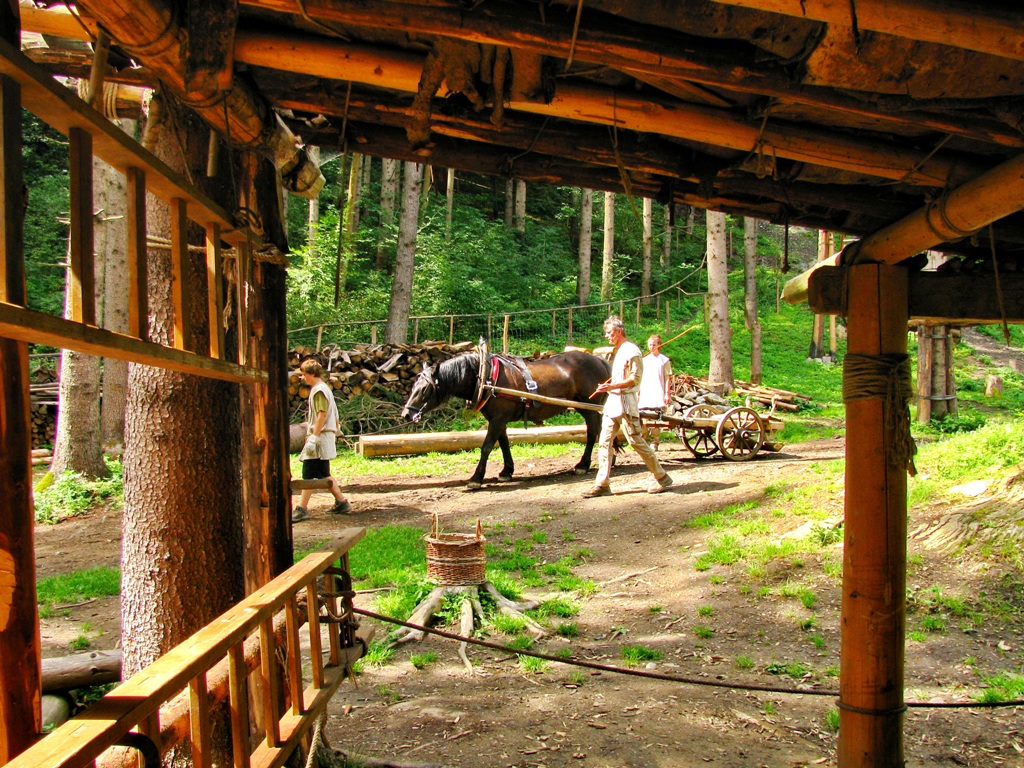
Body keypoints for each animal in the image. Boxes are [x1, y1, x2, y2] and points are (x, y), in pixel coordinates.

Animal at [397, 352, 606, 489]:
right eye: (414, 385)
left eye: (425, 389)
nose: (406, 414)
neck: (486, 378)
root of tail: (598, 360)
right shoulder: (499, 419)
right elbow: (504, 443)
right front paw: (507, 471)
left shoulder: (497, 419)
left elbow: (487, 446)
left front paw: (476, 478)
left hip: (590, 407)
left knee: (592, 433)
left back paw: (583, 465)